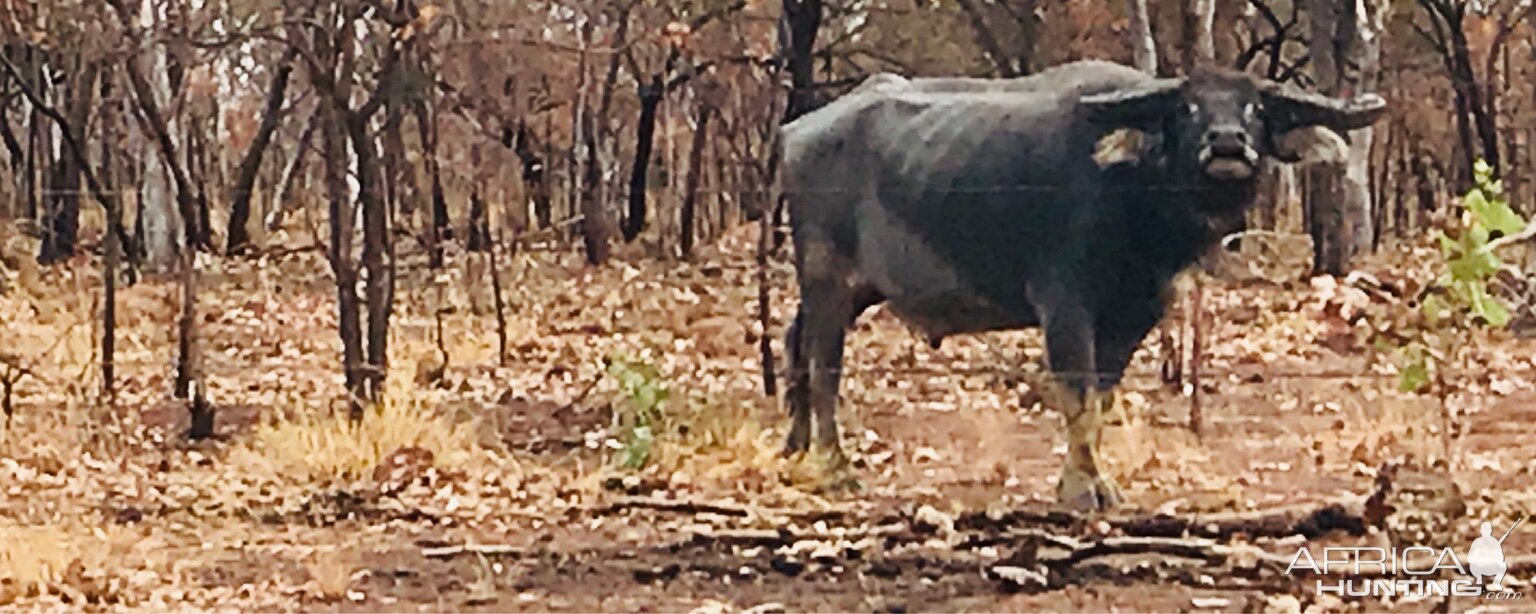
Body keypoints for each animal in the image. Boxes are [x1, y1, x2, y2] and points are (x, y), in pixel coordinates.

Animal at [774, 62, 1388, 509]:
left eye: (1255, 107)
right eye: (1187, 107)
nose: (1228, 144)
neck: (1137, 199)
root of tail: (794, 132)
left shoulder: (1137, 313)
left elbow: (1102, 397)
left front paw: (1093, 479)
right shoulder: (1065, 305)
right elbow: (1077, 394)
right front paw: (1081, 488)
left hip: (853, 289)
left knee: (794, 342)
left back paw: (793, 449)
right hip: (828, 276)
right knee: (824, 363)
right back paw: (833, 465)